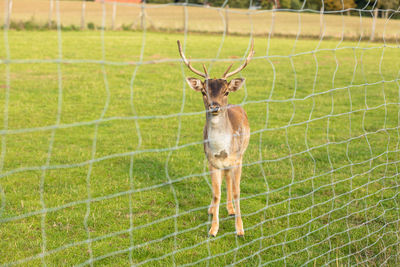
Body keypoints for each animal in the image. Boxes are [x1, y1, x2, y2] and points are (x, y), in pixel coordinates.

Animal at [177, 40, 255, 238]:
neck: (221, 150)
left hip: (241, 154)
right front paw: (213, 229)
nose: (215, 106)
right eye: (203, 92)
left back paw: (231, 209)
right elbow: (216, 193)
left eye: (226, 91)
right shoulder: (212, 162)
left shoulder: (236, 159)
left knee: (231, 182)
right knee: (223, 181)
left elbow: (236, 191)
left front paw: (240, 229)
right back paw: (214, 209)